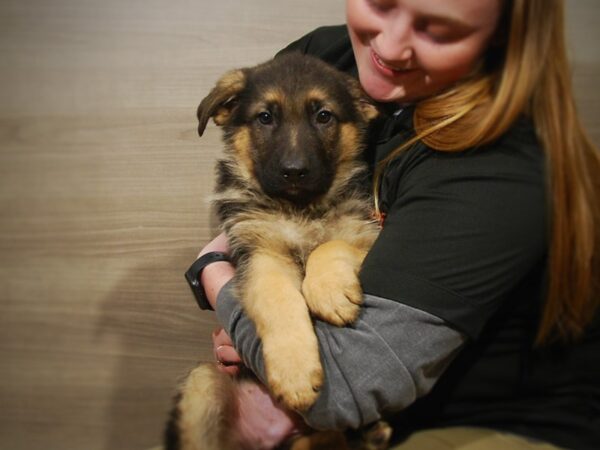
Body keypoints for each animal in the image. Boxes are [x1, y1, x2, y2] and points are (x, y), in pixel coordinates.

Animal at [168, 53, 390, 450]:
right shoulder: (260, 254)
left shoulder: (367, 233)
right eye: (265, 117)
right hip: (202, 382)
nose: (294, 171)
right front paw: (295, 373)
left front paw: (330, 291)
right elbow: (279, 301)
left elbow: (330, 244)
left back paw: (372, 432)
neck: (298, 207)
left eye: (324, 116)